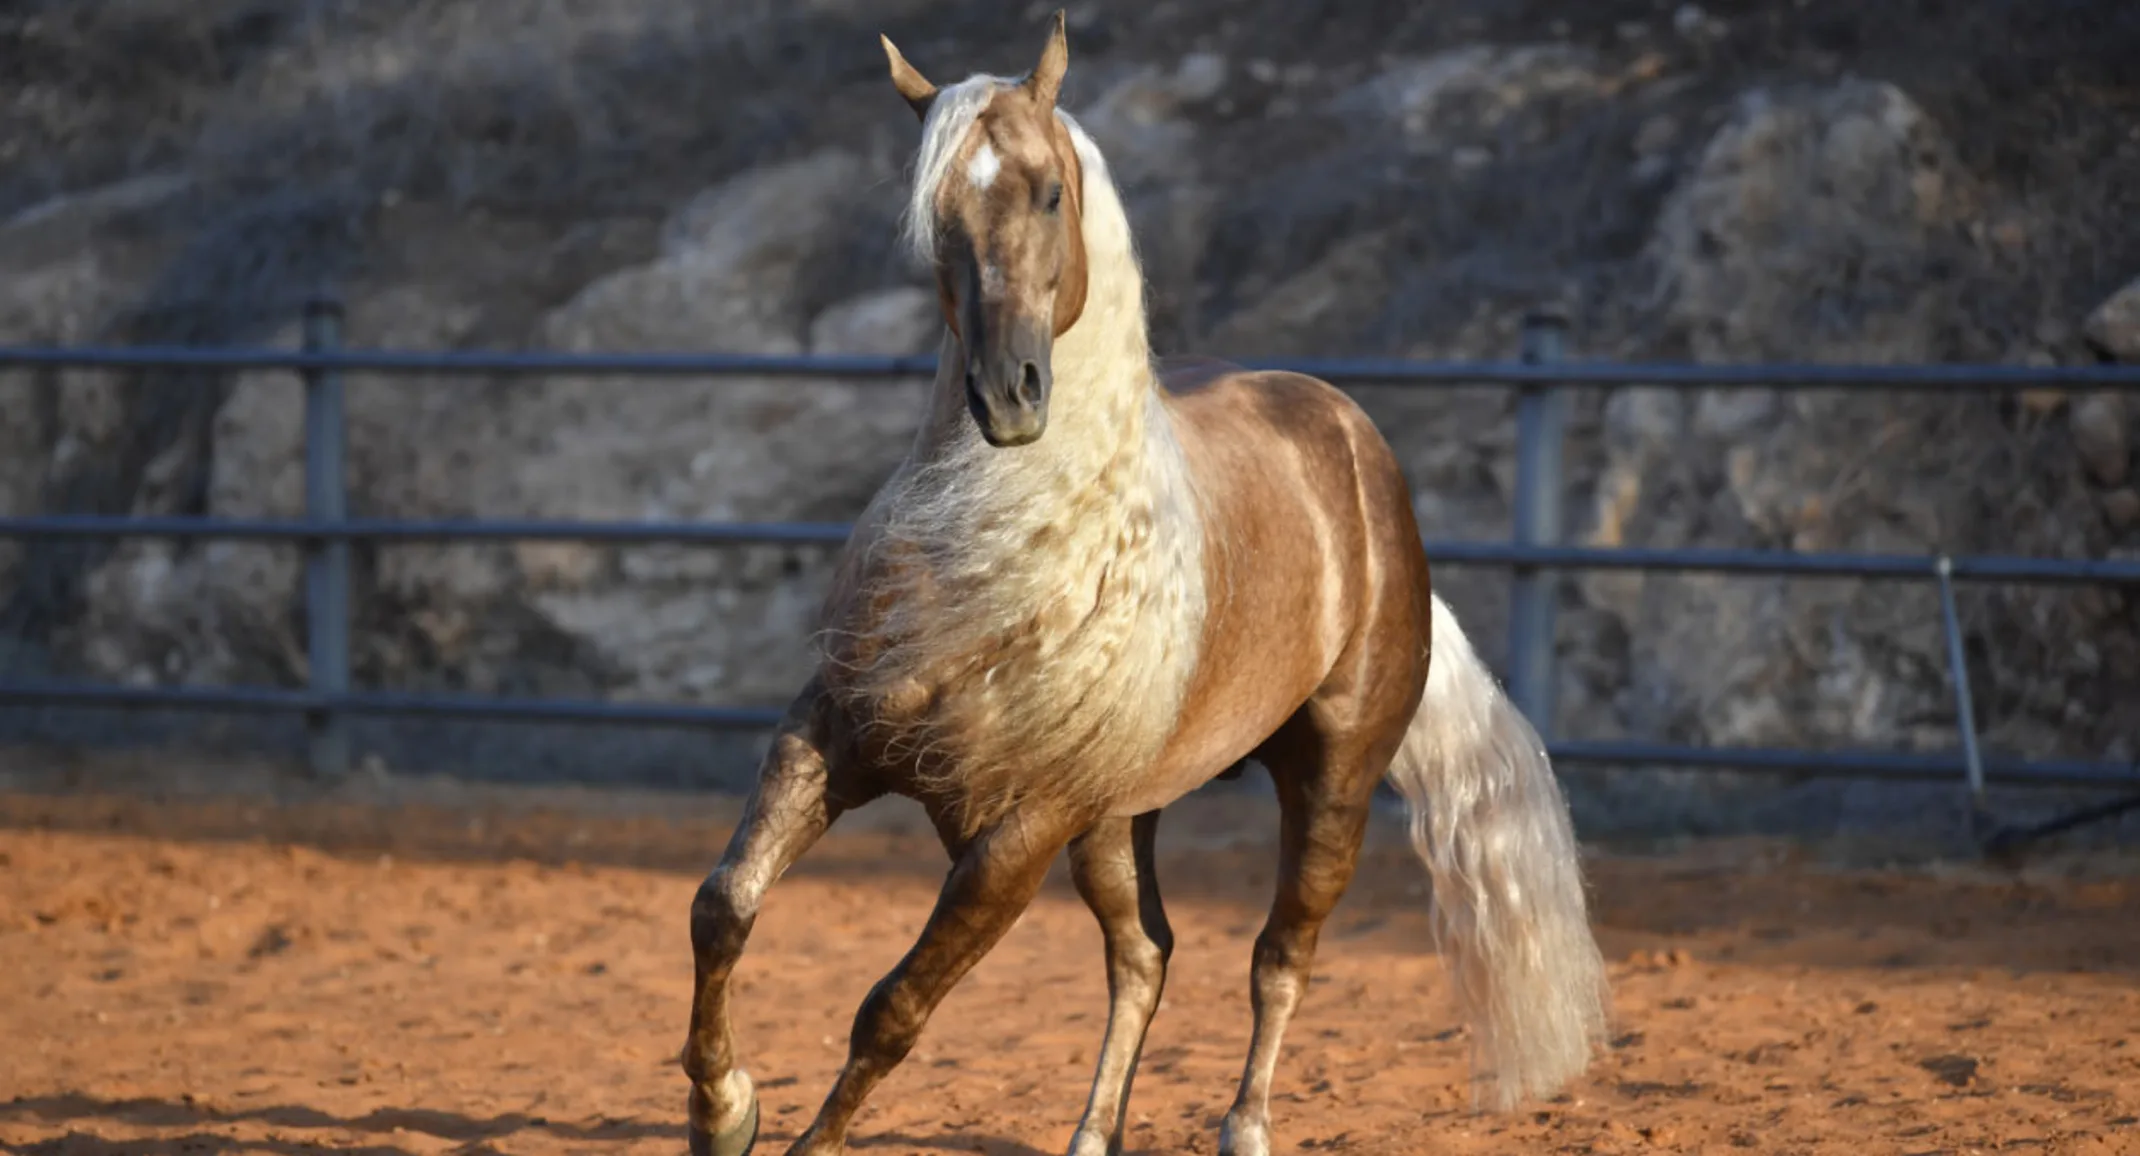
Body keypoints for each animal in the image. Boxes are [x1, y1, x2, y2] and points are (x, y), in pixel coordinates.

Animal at [680, 15, 1609, 1156]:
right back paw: (1092, 1136)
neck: (1010, 548)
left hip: (1330, 781)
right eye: (935, 210)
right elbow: (724, 904)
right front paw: (724, 1110)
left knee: (1277, 956)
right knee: (1146, 953)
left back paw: (1245, 1125)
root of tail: (1359, 453)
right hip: (1124, 820)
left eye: (1048, 192)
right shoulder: (835, 739)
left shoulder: (1018, 833)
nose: (1010, 394)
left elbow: (892, 1009)